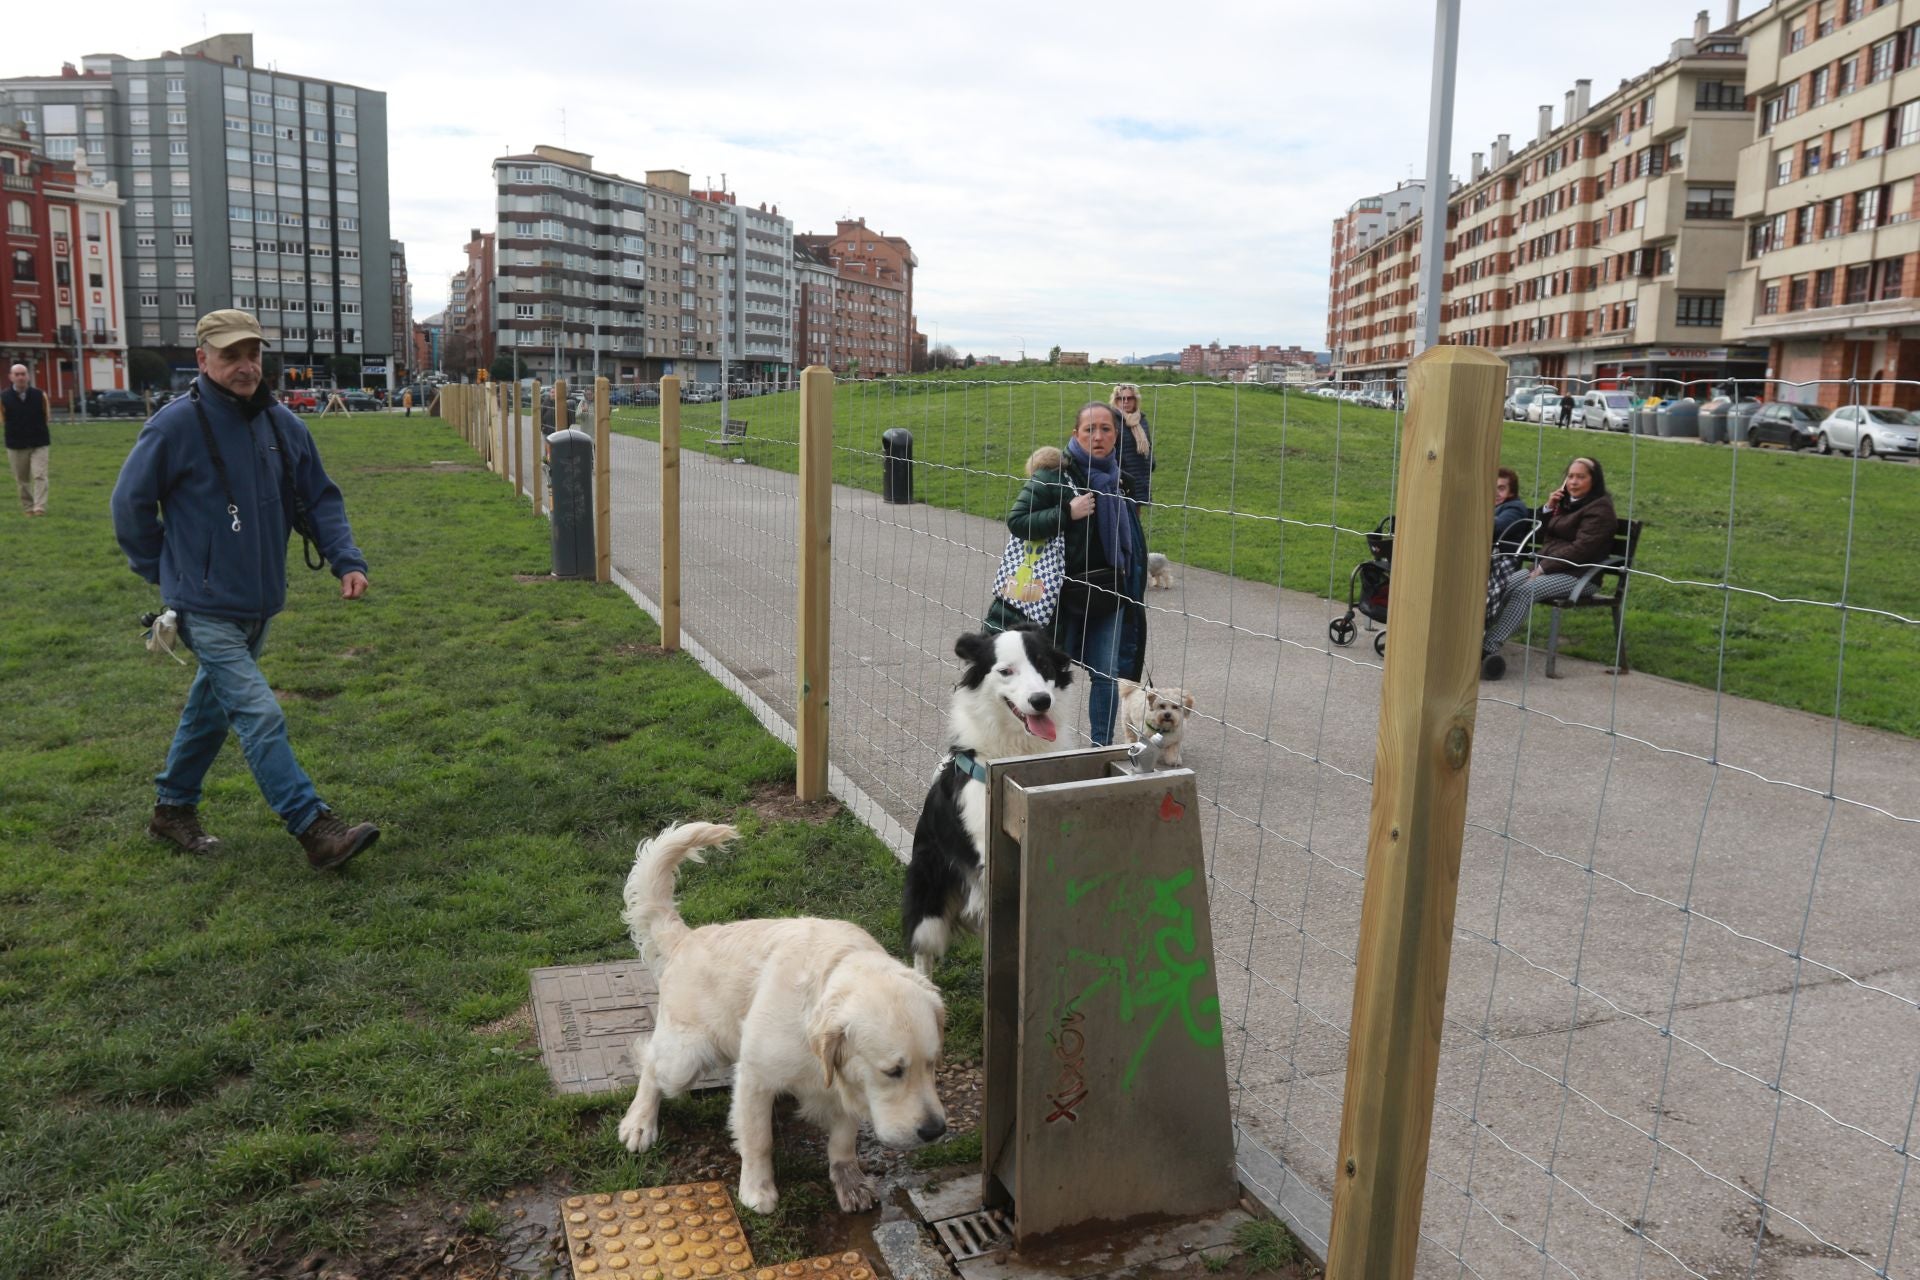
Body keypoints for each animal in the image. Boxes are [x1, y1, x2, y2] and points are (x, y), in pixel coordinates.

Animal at [618, 825, 948, 1220]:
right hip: (685, 1057)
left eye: (932, 1064)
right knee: (650, 1063)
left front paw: (848, 1180)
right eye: (893, 1071)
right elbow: (758, 1139)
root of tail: (687, 937)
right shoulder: (756, 1077)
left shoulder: (846, 1081)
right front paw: (757, 1189)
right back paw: (639, 1122)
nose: (935, 1130)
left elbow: (843, 1139)